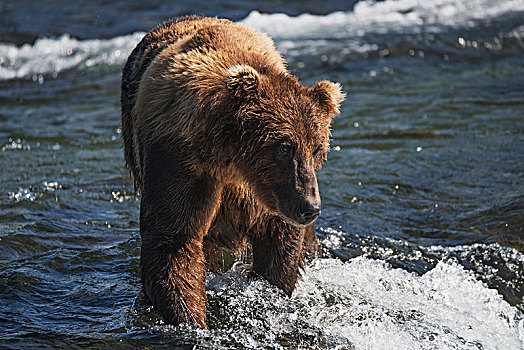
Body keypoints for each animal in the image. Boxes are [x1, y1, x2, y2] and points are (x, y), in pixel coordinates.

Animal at [121, 16, 346, 328]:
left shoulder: (270, 195)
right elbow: (173, 239)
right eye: (284, 146)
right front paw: (192, 319)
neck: (232, 158)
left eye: (317, 148)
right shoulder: (181, 160)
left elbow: (280, 242)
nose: (309, 208)